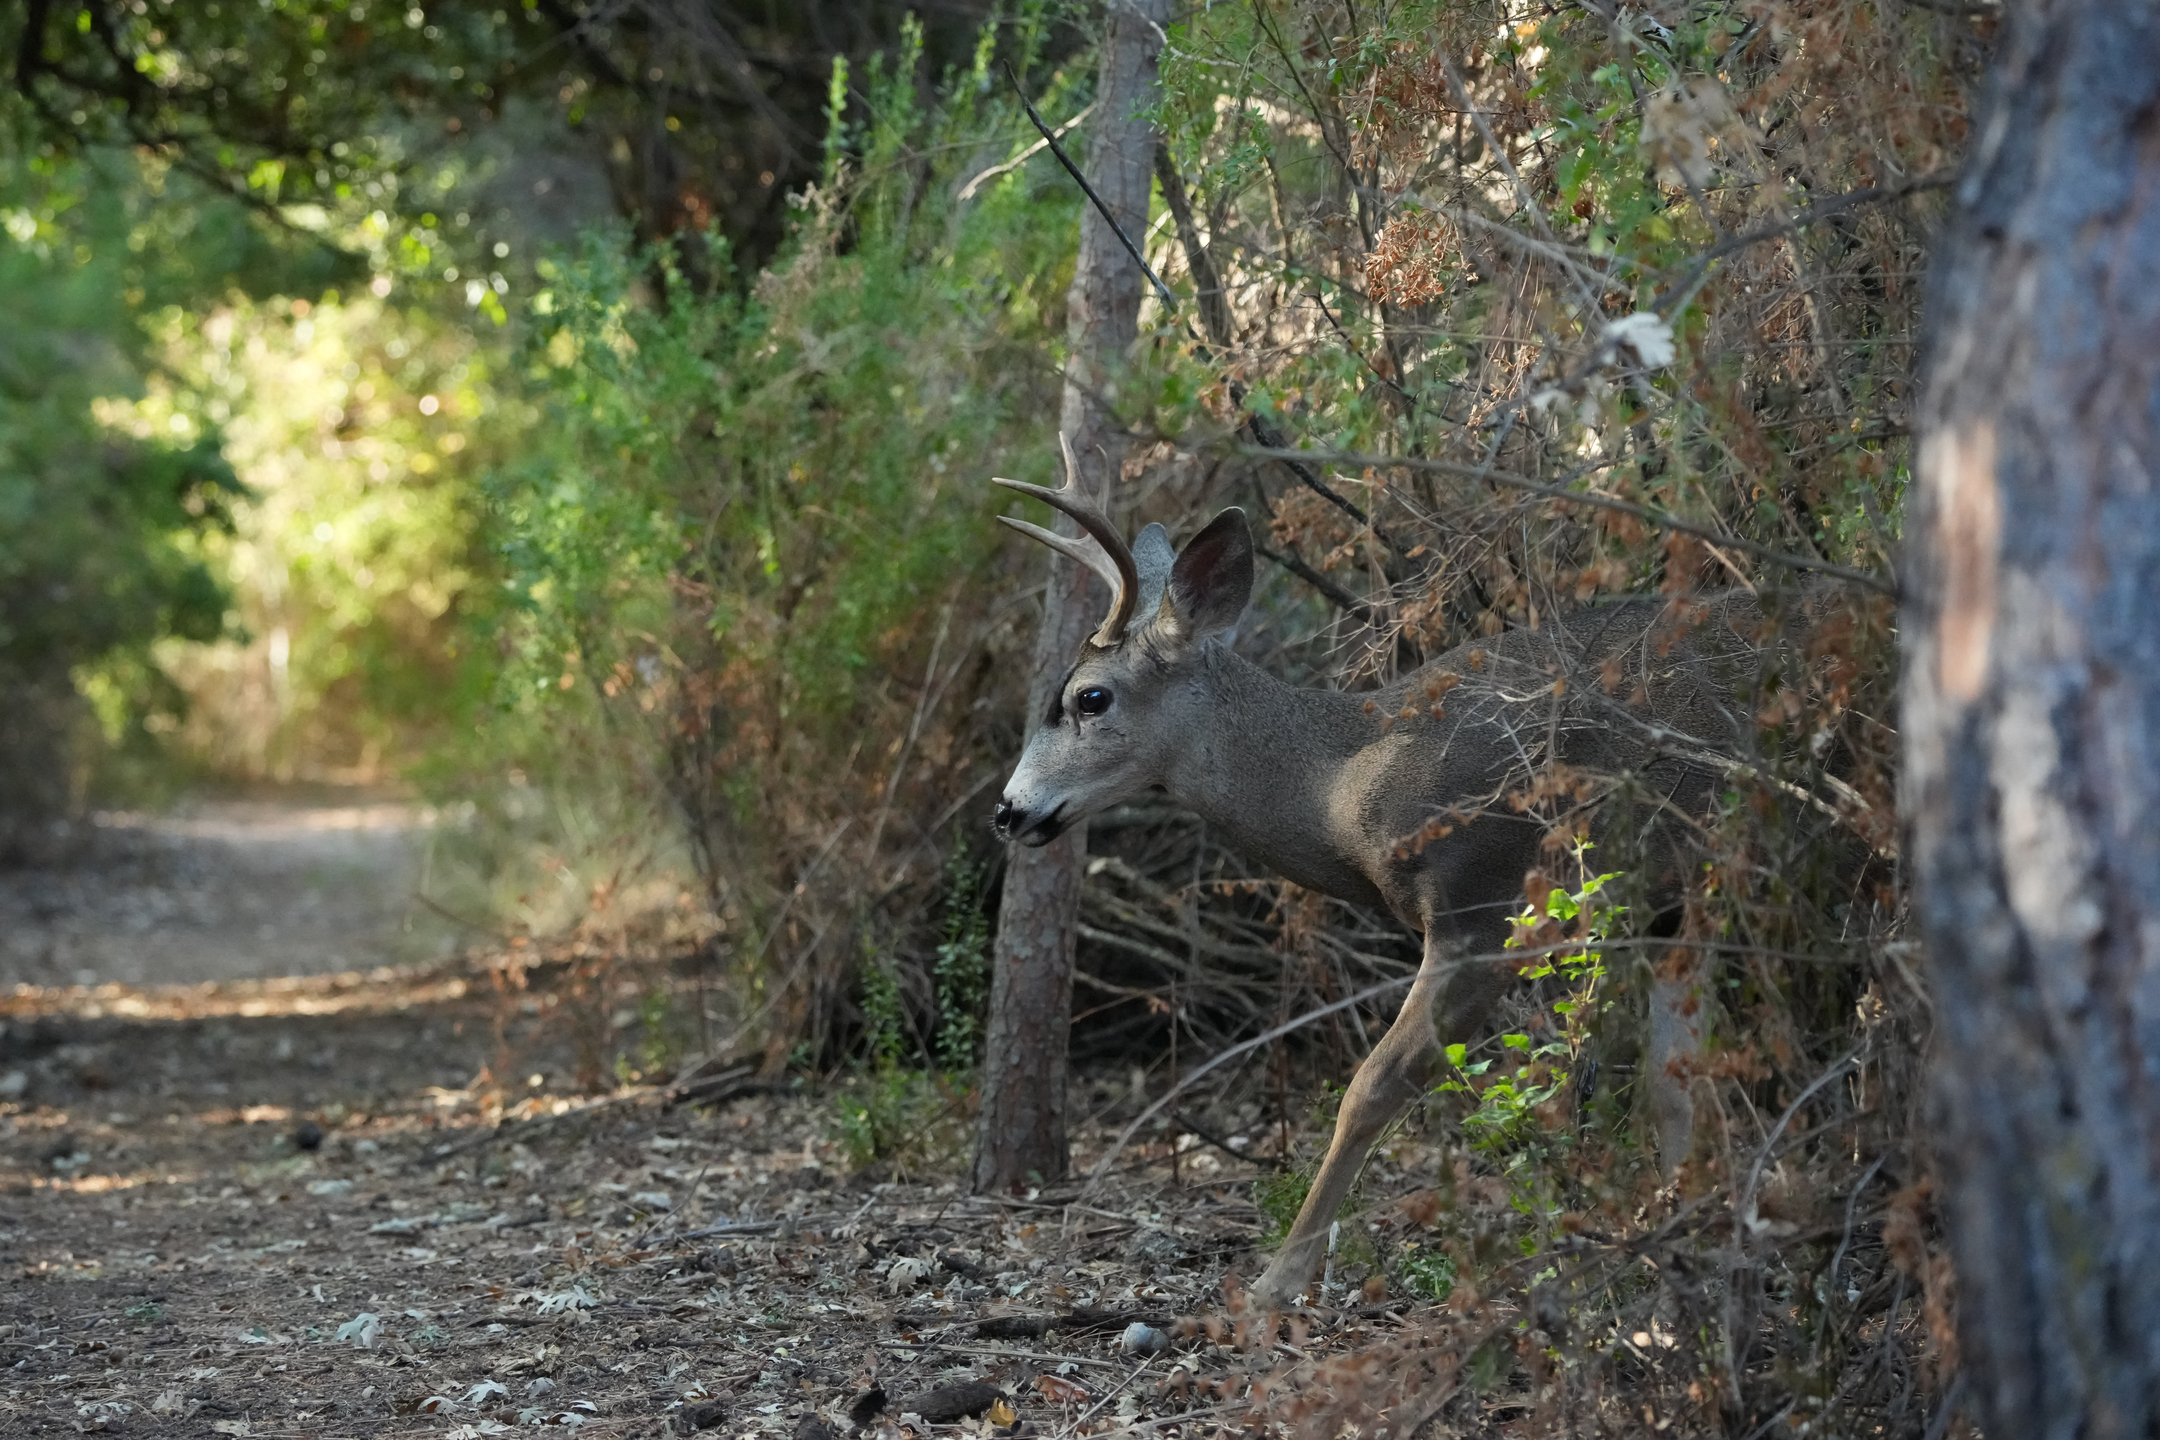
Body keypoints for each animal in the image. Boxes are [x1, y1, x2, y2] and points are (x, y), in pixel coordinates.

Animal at [990, 438, 1768, 1310]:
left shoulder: (1481, 904)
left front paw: (1278, 1281)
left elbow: (1371, 1087)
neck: (1342, 790)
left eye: (1091, 697)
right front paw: (1683, 1250)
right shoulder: (1665, 900)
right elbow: (1677, 1082)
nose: (1009, 810)